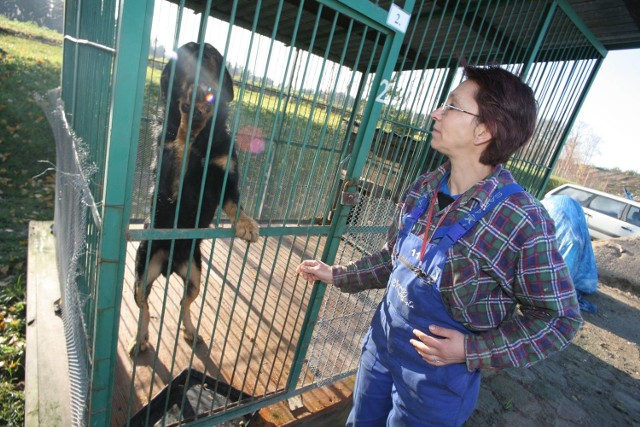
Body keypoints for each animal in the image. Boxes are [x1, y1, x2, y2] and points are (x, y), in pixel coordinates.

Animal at [129, 42, 258, 358]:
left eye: (211, 56)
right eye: (183, 57)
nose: (200, 90)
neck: (205, 137)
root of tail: (169, 264)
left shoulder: (226, 179)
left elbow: (236, 204)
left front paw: (246, 224)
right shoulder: (169, 184)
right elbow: (180, 142)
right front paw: (188, 120)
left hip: (196, 276)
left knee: (184, 303)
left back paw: (190, 330)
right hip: (142, 273)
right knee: (144, 307)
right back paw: (141, 339)